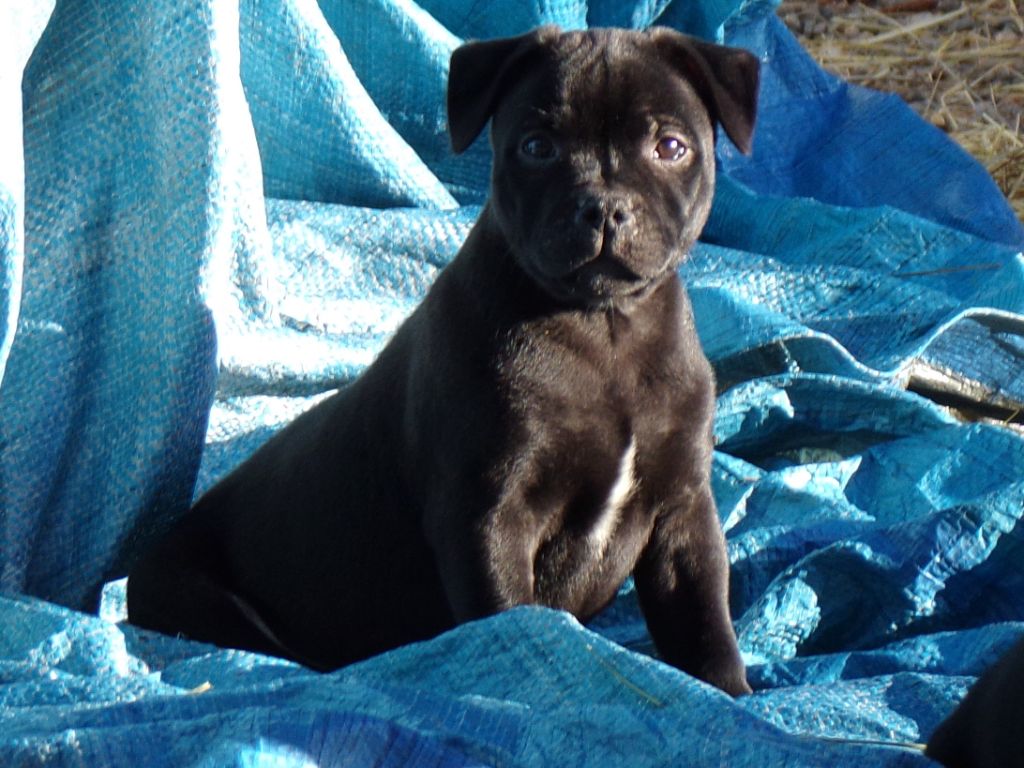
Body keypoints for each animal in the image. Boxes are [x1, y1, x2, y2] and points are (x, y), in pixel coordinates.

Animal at [128, 25, 761, 696]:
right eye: (537, 147)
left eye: (671, 146)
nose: (604, 207)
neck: (603, 327)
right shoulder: (490, 512)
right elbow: (511, 614)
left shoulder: (683, 511)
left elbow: (703, 617)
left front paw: (730, 695)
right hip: (198, 598)